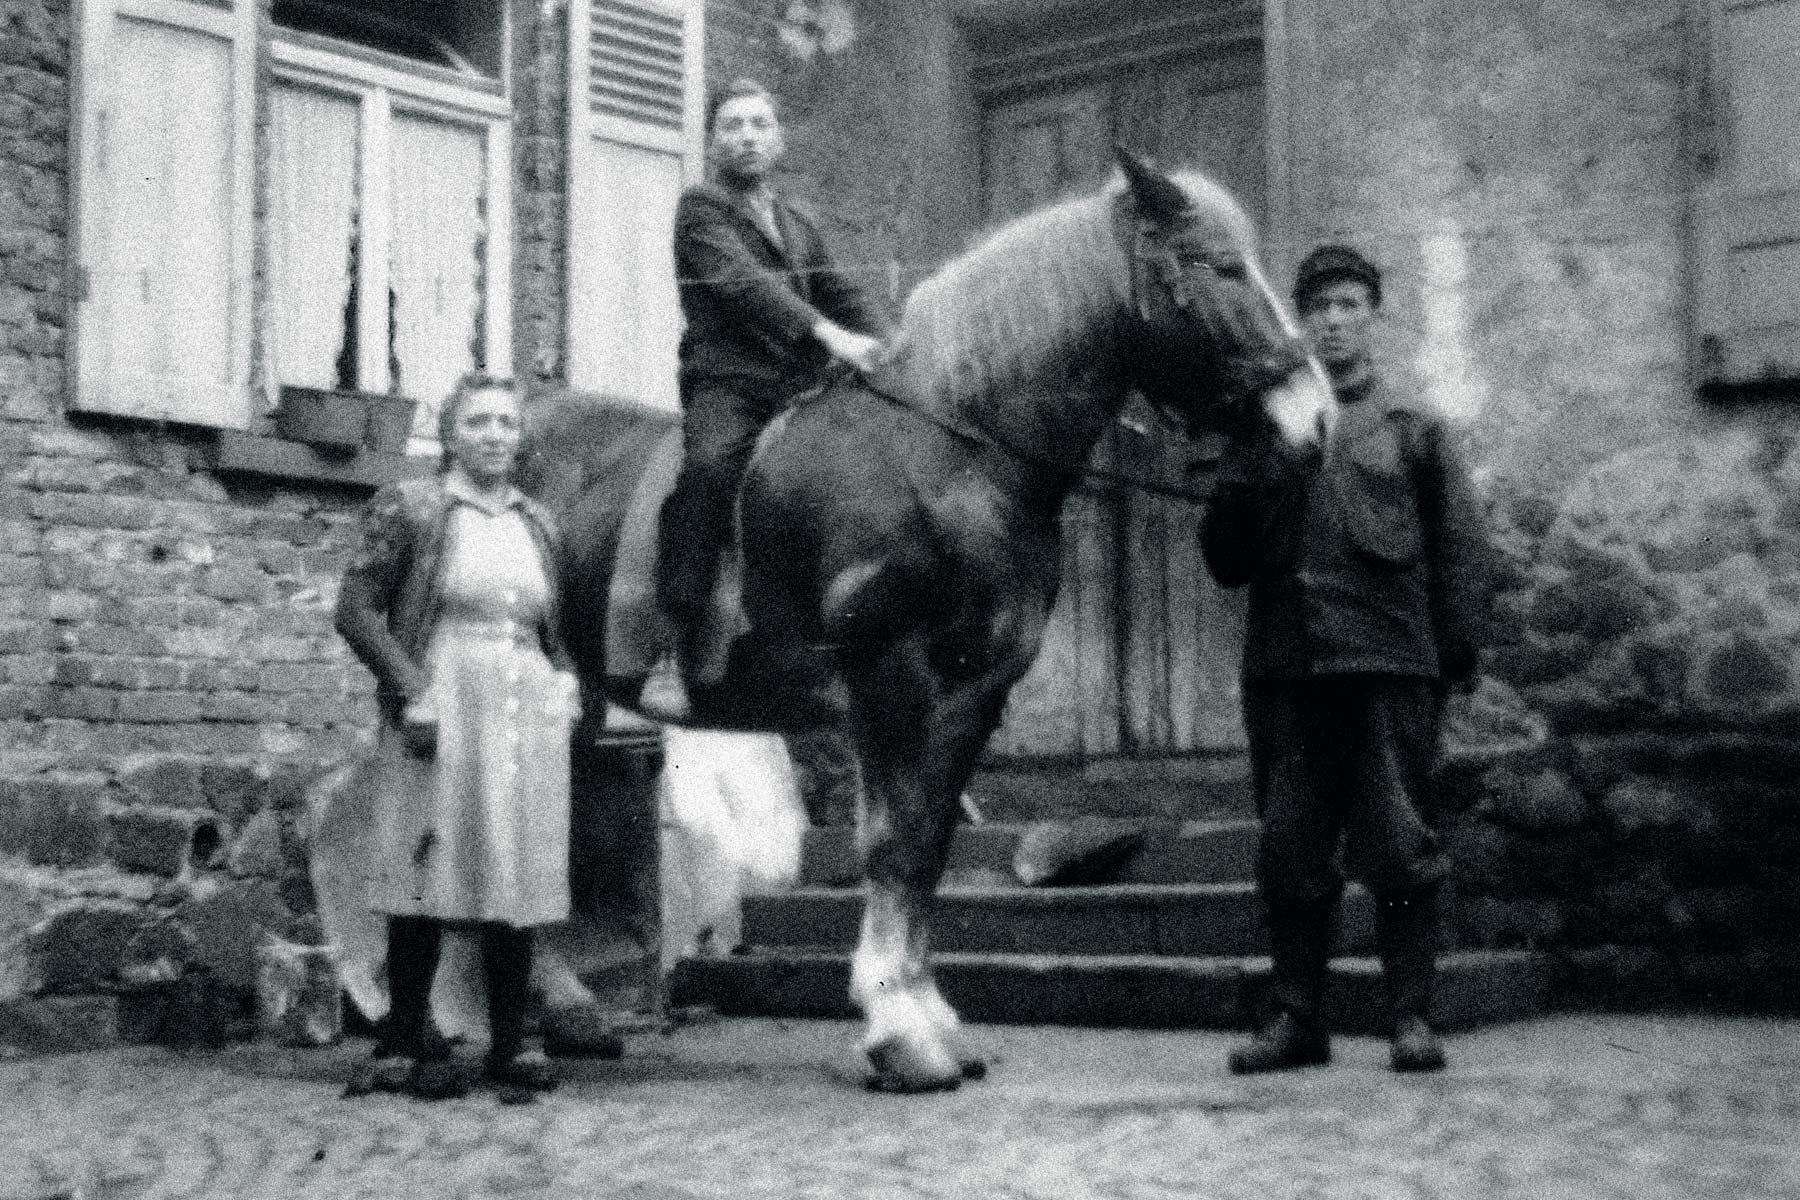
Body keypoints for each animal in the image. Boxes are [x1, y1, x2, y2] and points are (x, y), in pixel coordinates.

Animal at [526, 148, 1335, 1093]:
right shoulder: (892, 678)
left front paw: (928, 1015)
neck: (952, 458)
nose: (1315, 419)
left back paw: (563, 1013)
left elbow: (932, 840)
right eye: (1219, 267)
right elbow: (893, 844)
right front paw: (898, 1031)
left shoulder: (973, 690)